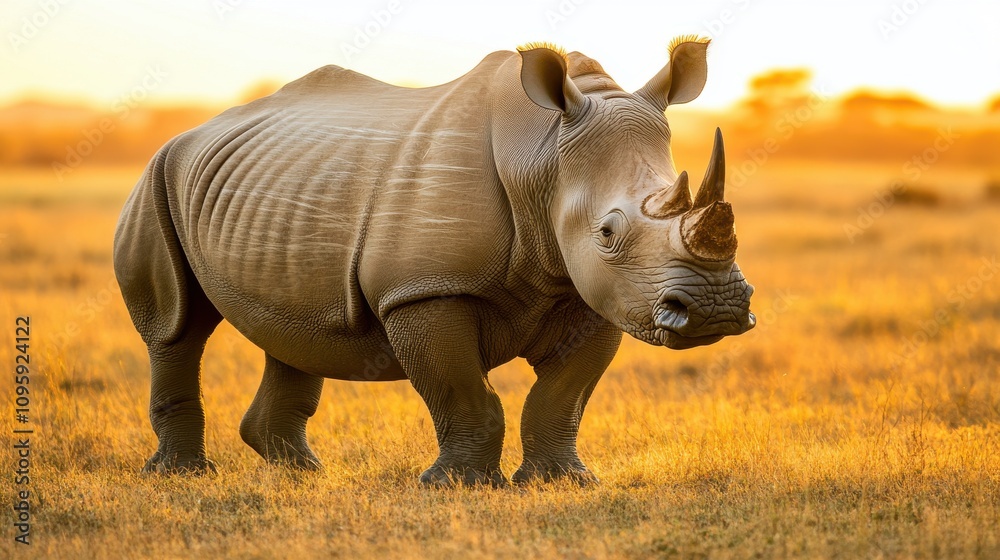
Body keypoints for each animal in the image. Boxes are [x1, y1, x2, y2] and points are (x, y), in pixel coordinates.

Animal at [114, 36, 755, 486]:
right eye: (607, 232)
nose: (715, 310)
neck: (542, 154)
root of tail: (194, 130)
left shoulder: (598, 293)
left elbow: (563, 396)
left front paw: (561, 483)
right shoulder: (425, 288)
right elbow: (461, 390)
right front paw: (456, 486)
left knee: (293, 328)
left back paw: (305, 475)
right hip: (155, 178)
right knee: (176, 326)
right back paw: (182, 476)